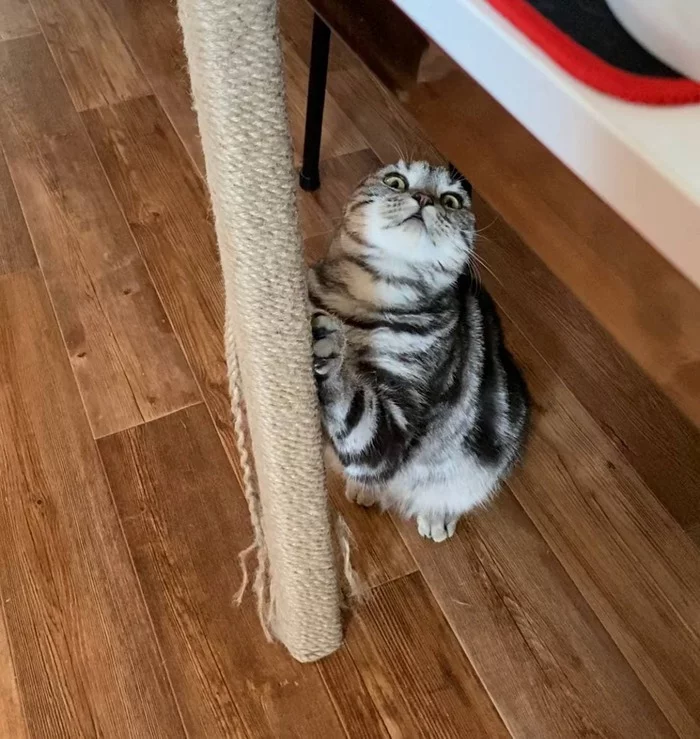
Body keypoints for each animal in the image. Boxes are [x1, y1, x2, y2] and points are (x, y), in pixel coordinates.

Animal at [308, 163, 528, 544]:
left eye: (451, 200)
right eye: (396, 181)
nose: (424, 197)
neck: (365, 305)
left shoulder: (397, 426)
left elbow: (353, 409)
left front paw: (327, 347)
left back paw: (436, 513)